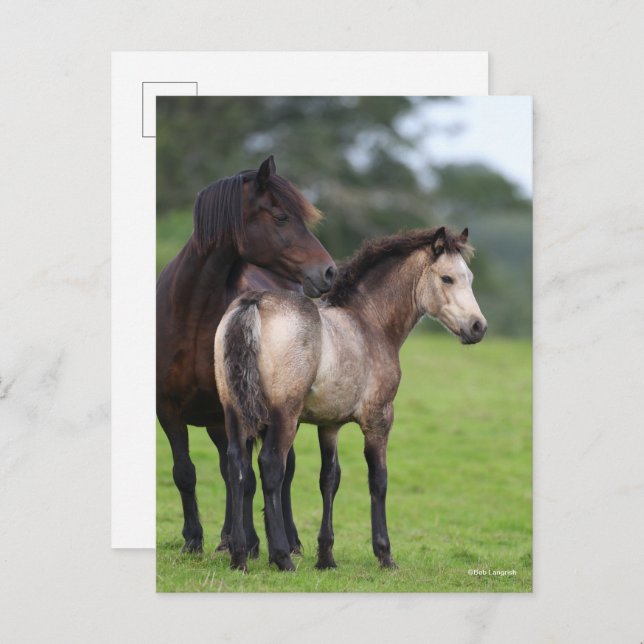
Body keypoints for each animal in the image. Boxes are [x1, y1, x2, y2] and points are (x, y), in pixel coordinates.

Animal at [156, 156, 337, 556]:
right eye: (282, 217)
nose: (330, 271)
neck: (191, 314)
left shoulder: (239, 410)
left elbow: (250, 476)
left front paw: (253, 542)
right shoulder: (168, 409)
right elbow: (186, 472)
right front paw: (193, 540)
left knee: (280, 470)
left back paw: (286, 540)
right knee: (229, 468)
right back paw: (226, 538)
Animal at [214, 226, 487, 571]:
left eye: (470, 277)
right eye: (447, 278)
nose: (478, 327)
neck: (368, 323)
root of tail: (254, 302)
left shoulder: (328, 424)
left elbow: (329, 479)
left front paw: (326, 557)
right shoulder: (379, 418)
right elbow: (378, 479)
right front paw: (385, 554)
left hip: (234, 411)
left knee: (237, 466)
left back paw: (239, 556)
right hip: (284, 415)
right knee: (271, 466)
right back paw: (281, 557)